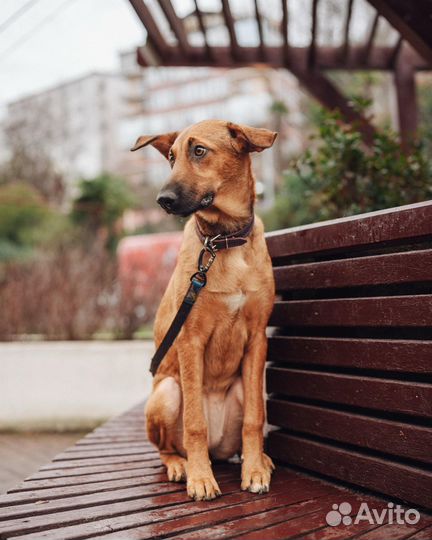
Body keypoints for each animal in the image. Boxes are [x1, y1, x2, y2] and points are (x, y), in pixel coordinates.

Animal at [130, 120, 276, 500]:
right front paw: (200, 478)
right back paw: (182, 465)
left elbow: (256, 418)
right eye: (170, 157)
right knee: (167, 448)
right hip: (167, 392)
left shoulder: (257, 339)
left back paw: (259, 458)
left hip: (244, 386)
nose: (163, 200)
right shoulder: (189, 341)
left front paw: (254, 470)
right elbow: (195, 422)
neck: (222, 242)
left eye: (199, 151)